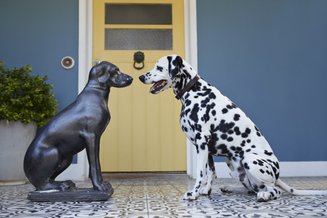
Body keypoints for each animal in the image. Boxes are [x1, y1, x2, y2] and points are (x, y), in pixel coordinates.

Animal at [140, 55, 327, 202]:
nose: (141, 77)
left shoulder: (201, 144)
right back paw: (230, 188)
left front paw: (193, 193)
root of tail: (277, 174)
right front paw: (205, 191)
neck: (193, 90)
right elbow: (211, 173)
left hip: (250, 160)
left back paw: (264, 196)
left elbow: (201, 173)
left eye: (159, 67)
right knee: (253, 189)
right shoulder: (207, 150)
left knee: (273, 190)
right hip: (234, 168)